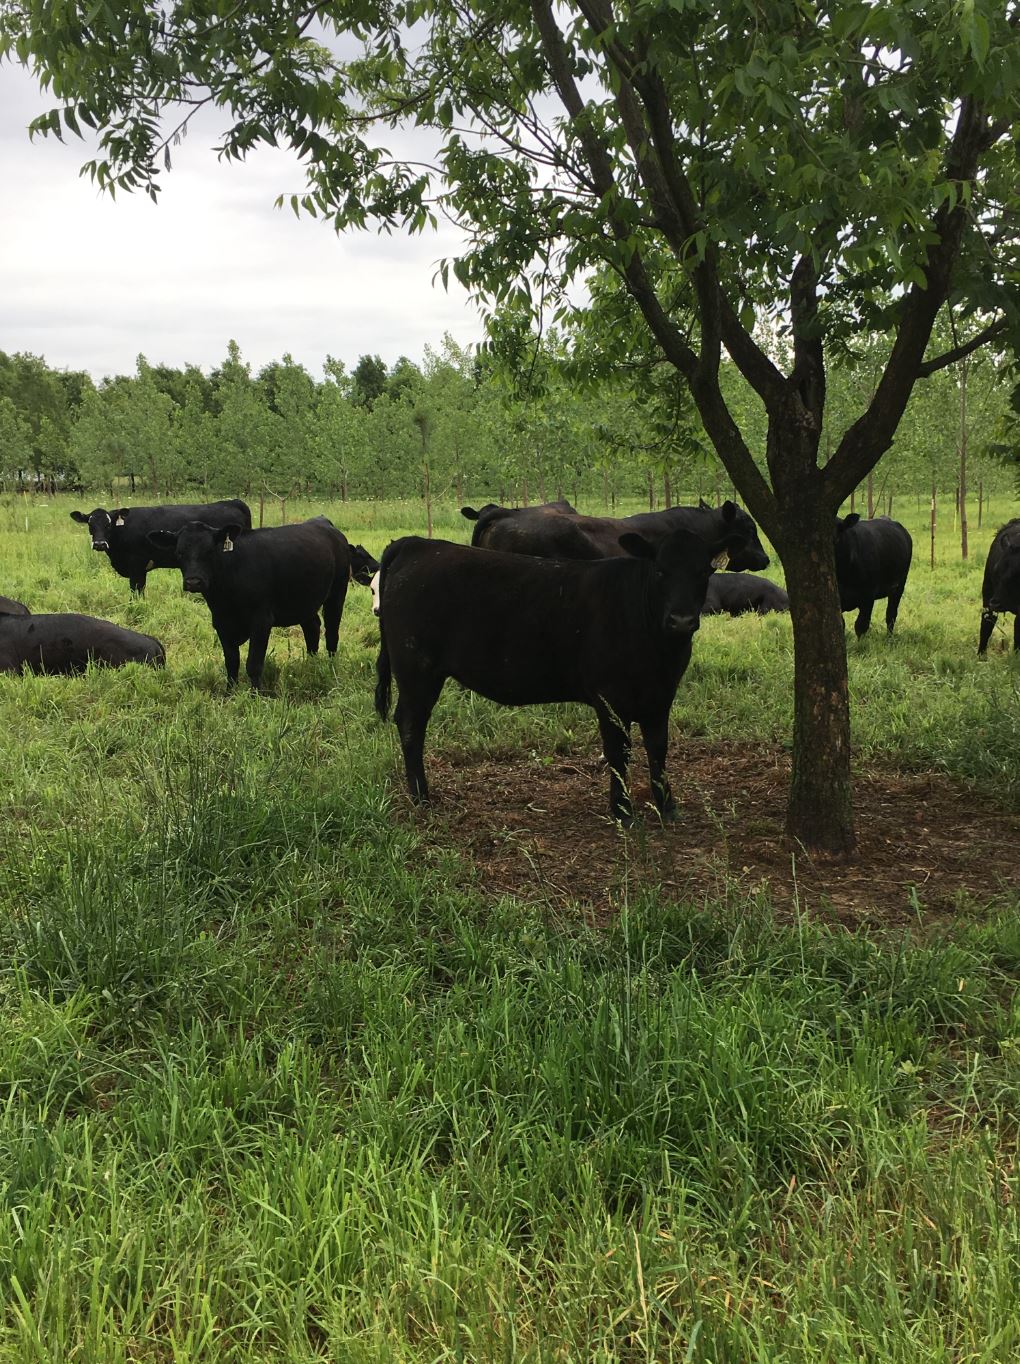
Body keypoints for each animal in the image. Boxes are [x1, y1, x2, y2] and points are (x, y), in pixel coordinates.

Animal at [70, 496, 253, 591]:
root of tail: (233, 501)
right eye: (90, 524)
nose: (99, 544)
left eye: (108, 524)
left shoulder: (137, 565)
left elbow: (136, 591)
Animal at [149, 512, 357, 687]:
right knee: (312, 626)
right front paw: (230, 692)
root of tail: (323, 522)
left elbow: (253, 664)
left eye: (210, 551)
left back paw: (330, 667)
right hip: (304, 600)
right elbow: (231, 662)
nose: (194, 581)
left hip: (337, 593)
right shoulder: (221, 622)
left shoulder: (261, 621)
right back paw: (311, 665)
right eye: (179, 553)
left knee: (332, 632)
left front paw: (256, 695)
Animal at [373, 521, 741, 818]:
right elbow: (618, 752)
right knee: (411, 724)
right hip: (417, 669)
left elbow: (658, 748)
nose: (681, 620)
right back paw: (421, 797)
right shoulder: (609, 698)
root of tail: (417, 544)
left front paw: (667, 806)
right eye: (660, 571)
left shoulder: (660, 695)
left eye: (704, 572)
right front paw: (622, 811)